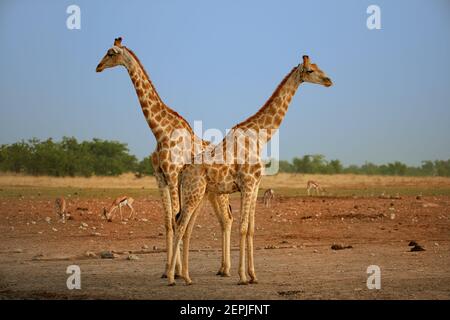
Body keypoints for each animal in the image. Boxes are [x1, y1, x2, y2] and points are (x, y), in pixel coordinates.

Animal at [96, 37, 234, 278]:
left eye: (111, 53)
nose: (98, 66)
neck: (160, 131)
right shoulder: (160, 177)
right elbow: (169, 221)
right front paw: (166, 271)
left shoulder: (172, 174)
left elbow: (176, 218)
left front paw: (176, 272)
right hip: (211, 192)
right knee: (223, 219)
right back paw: (221, 268)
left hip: (219, 191)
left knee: (227, 219)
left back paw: (226, 270)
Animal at [167, 55, 332, 284]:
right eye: (310, 70)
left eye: (317, 66)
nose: (328, 81)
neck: (260, 137)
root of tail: (183, 170)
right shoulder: (247, 183)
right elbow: (243, 227)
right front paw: (243, 276)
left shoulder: (255, 186)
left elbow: (252, 229)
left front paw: (253, 275)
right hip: (194, 192)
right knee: (181, 225)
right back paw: (172, 278)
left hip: (199, 194)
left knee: (186, 226)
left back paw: (187, 277)